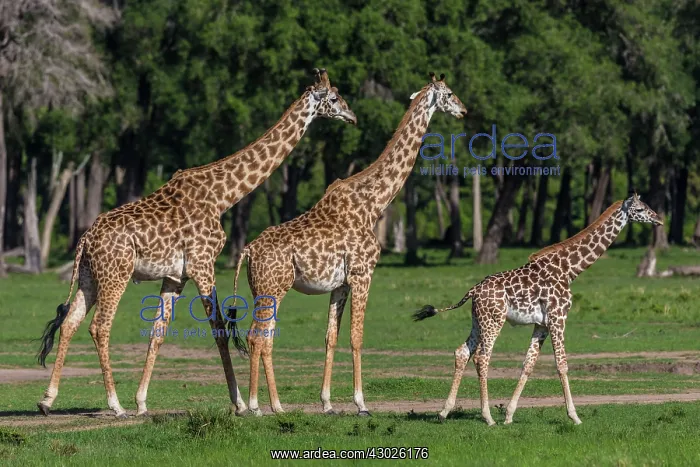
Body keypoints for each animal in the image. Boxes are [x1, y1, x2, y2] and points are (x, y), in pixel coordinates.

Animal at [35, 69, 357, 418]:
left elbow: (158, 332)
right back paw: (115, 405)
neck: (222, 196)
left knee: (70, 322)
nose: (352, 116)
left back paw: (47, 399)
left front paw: (142, 402)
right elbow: (219, 329)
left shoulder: (176, 275)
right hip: (115, 274)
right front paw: (239, 403)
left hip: (89, 276)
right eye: (335, 97)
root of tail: (84, 239)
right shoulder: (204, 262)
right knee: (99, 326)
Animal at [226, 72, 467, 416]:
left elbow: (331, 337)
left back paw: (274, 405)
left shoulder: (339, 283)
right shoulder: (363, 274)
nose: (463, 110)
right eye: (448, 93)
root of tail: (247, 251)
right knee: (256, 336)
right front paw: (361, 403)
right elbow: (356, 337)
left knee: (265, 337)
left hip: (265, 289)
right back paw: (259, 406)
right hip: (273, 289)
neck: (374, 203)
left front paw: (327, 403)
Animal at [413, 194, 662, 425]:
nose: (659, 219)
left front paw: (509, 415)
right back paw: (487, 417)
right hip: (494, 320)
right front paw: (574, 416)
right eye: (641, 209)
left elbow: (528, 364)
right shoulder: (558, 317)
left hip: (478, 321)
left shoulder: (541, 323)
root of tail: (473, 291)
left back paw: (444, 412)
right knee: (482, 357)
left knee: (463, 352)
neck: (570, 270)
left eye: (648, 206)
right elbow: (562, 364)